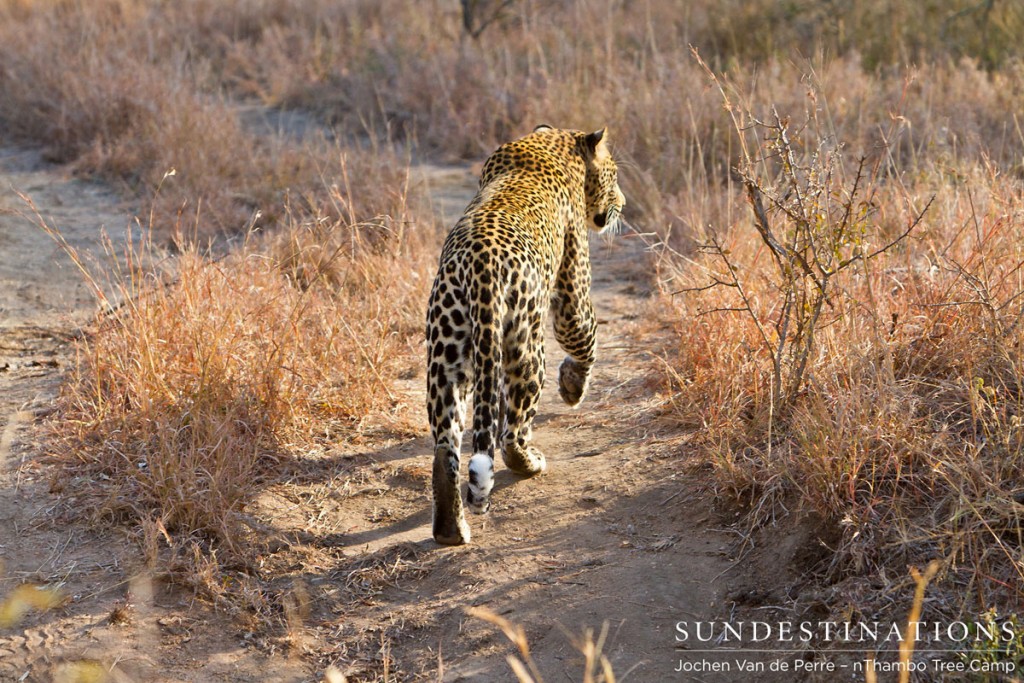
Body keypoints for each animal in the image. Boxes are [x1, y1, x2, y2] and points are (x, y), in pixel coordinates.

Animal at [423, 124, 622, 544]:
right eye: (613, 176)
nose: (623, 203)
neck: (553, 143)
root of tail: (481, 266)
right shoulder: (573, 279)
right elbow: (584, 335)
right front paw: (573, 387)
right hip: (526, 347)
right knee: (510, 434)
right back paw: (531, 463)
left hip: (447, 348)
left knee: (446, 445)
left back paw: (450, 530)